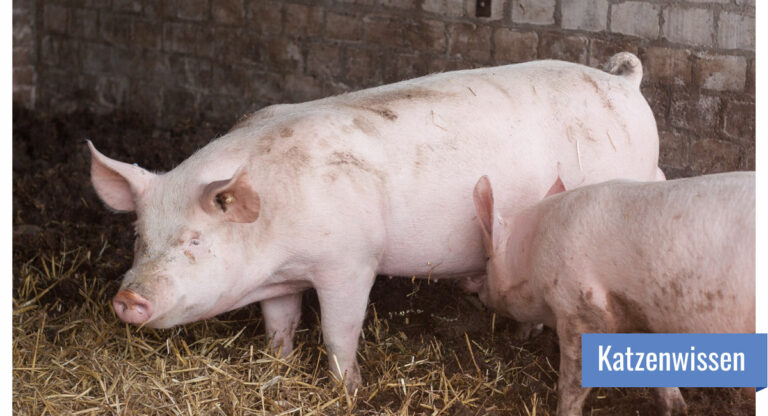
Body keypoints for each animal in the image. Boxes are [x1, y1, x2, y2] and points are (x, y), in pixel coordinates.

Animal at [90, 52, 664, 390]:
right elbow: (280, 324)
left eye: (193, 241)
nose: (127, 299)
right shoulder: (282, 281)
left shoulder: (350, 262)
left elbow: (338, 331)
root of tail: (625, 83)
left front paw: (349, 391)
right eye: (139, 237)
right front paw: (278, 369)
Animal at [472, 171, 752, 416]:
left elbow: (573, 381)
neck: (531, 256)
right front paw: (676, 409)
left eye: (486, 259)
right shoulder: (642, 315)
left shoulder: (580, 308)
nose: (476, 294)